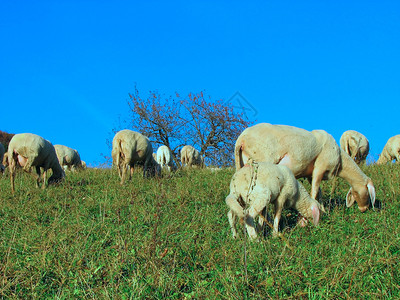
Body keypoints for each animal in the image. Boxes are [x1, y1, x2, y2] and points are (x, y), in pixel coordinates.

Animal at [234, 123, 376, 212]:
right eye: (368, 193)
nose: (363, 209)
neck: (341, 159)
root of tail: (241, 139)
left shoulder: (310, 174)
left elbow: (319, 192)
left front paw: (323, 209)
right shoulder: (320, 166)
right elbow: (315, 190)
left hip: (243, 165)